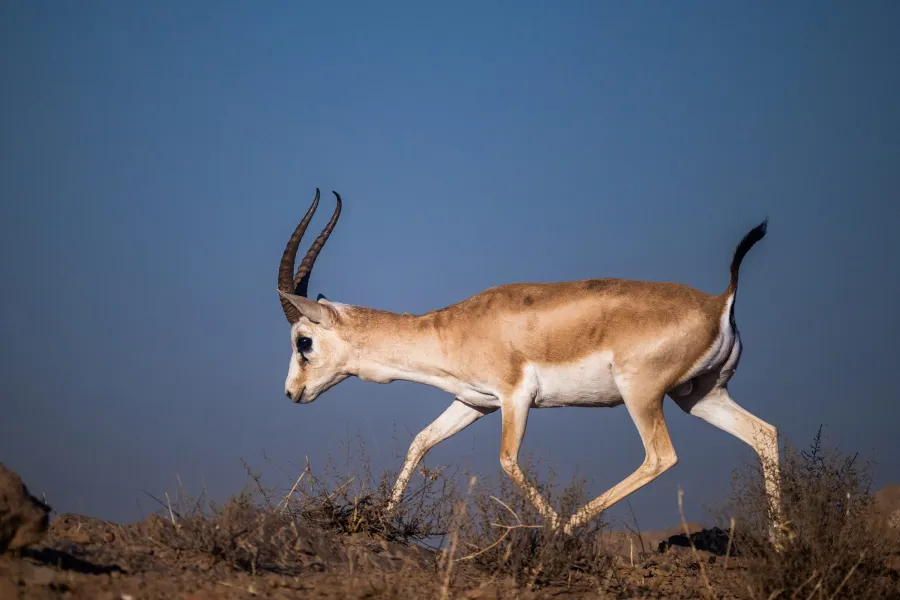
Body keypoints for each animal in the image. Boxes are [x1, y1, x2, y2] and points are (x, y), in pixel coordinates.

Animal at [275, 188, 782, 537]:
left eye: (304, 341)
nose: (291, 393)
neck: (453, 328)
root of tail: (720, 301)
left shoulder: (515, 397)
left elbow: (507, 460)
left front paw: (555, 529)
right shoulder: (474, 402)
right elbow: (421, 441)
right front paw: (383, 517)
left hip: (642, 396)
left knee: (661, 456)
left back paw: (570, 527)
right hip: (700, 397)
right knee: (764, 435)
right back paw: (782, 543)